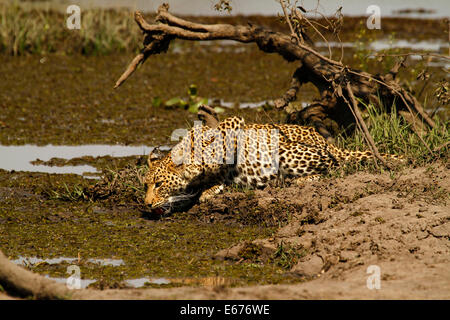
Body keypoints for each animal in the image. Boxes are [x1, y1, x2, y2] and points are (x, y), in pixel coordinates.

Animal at [143, 116, 400, 214]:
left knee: (333, 166)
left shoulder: (234, 124)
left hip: (286, 149)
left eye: (158, 184)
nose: (146, 204)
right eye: (147, 184)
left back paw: (293, 181)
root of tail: (323, 139)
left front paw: (212, 187)